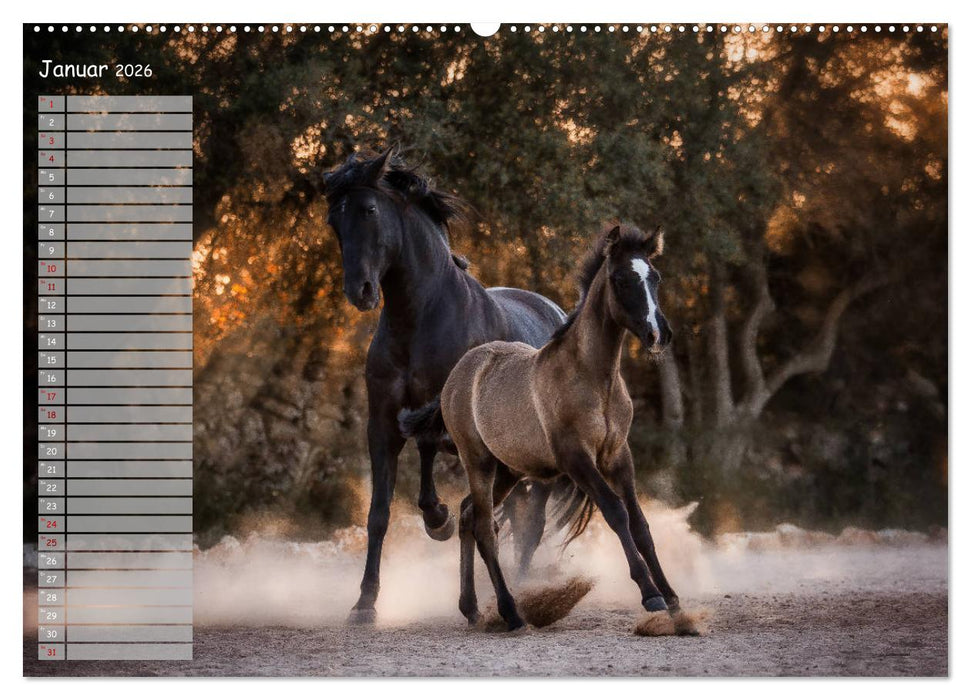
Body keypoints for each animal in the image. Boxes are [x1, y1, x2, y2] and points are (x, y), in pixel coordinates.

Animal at [323, 147, 575, 623]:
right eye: (334, 220)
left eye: (369, 210)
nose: (360, 290)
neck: (420, 319)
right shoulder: (384, 425)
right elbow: (380, 512)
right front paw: (365, 602)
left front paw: (437, 519)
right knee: (509, 516)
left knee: (529, 524)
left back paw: (519, 590)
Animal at [409, 224, 685, 631]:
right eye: (621, 280)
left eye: (655, 277)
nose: (658, 335)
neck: (593, 379)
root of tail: (458, 374)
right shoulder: (576, 460)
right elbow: (616, 513)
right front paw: (650, 594)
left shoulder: (618, 456)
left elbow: (640, 525)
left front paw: (672, 597)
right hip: (478, 462)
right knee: (484, 528)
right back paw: (509, 612)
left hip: (507, 470)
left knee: (468, 514)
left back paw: (471, 608)